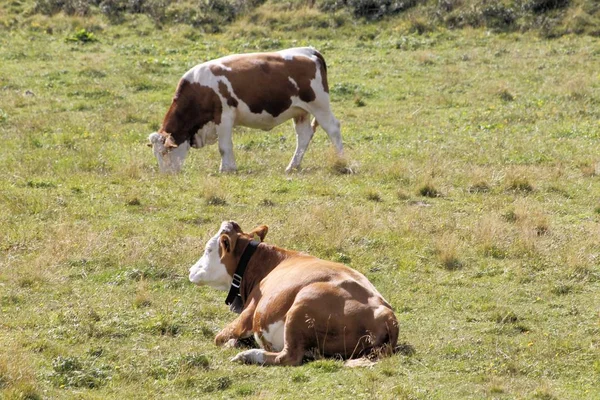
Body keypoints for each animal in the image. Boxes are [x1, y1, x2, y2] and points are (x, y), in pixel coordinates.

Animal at [149, 47, 342, 173]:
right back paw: (292, 166)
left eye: (165, 152)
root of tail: (309, 50)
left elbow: (224, 146)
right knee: (303, 136)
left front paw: (227, 169)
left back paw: (342, 160)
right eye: (155, 153)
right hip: (300, 111)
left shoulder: (224, 116)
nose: (166, 175)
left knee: (333, 128)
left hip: (319, 104)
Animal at [188, 222, 398, 366]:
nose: (190, 270)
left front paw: (233, 344)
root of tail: (385, 313)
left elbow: (219, 338)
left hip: (302, 304)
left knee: (289, 356)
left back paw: (248, 355)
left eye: (208, 249)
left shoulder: (248, 315)